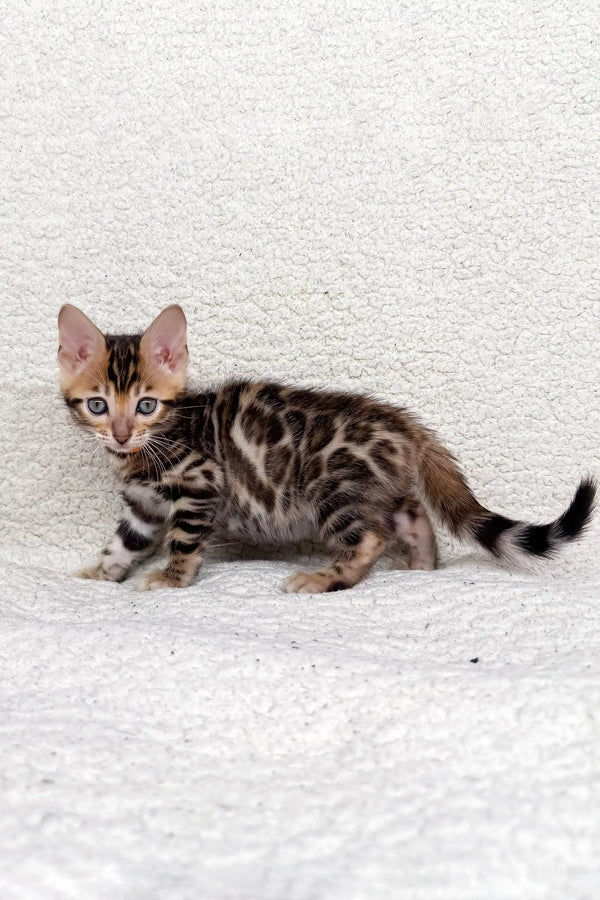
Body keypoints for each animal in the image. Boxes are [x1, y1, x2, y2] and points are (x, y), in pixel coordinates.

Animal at [57, 306, 596, 596]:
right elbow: (124, 541)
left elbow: (184, 541)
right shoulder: (143, 504)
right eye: (98, 405)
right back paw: (422, 566)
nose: (121, 433)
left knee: (371, 537)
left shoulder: (200, 482)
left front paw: (171, 578)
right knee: (411, 514)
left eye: (146, 404)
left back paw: (322, 579)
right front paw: (101, 571)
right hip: (371, 487)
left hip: (333, 489)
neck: (150, 444)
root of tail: (406, 425)